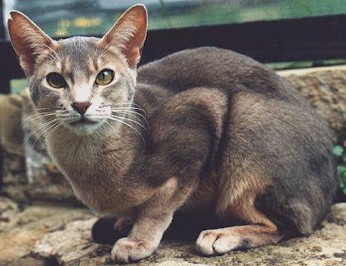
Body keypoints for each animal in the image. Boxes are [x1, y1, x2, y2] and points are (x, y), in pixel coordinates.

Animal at [7, 4, 338, 264]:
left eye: (104, 76)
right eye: (55, 80)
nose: (81, 104)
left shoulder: (202, 113)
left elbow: (160, 204)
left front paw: (138, 240)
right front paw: (126, 222)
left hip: (246, 124)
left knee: (291, 225)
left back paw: (222, 234)